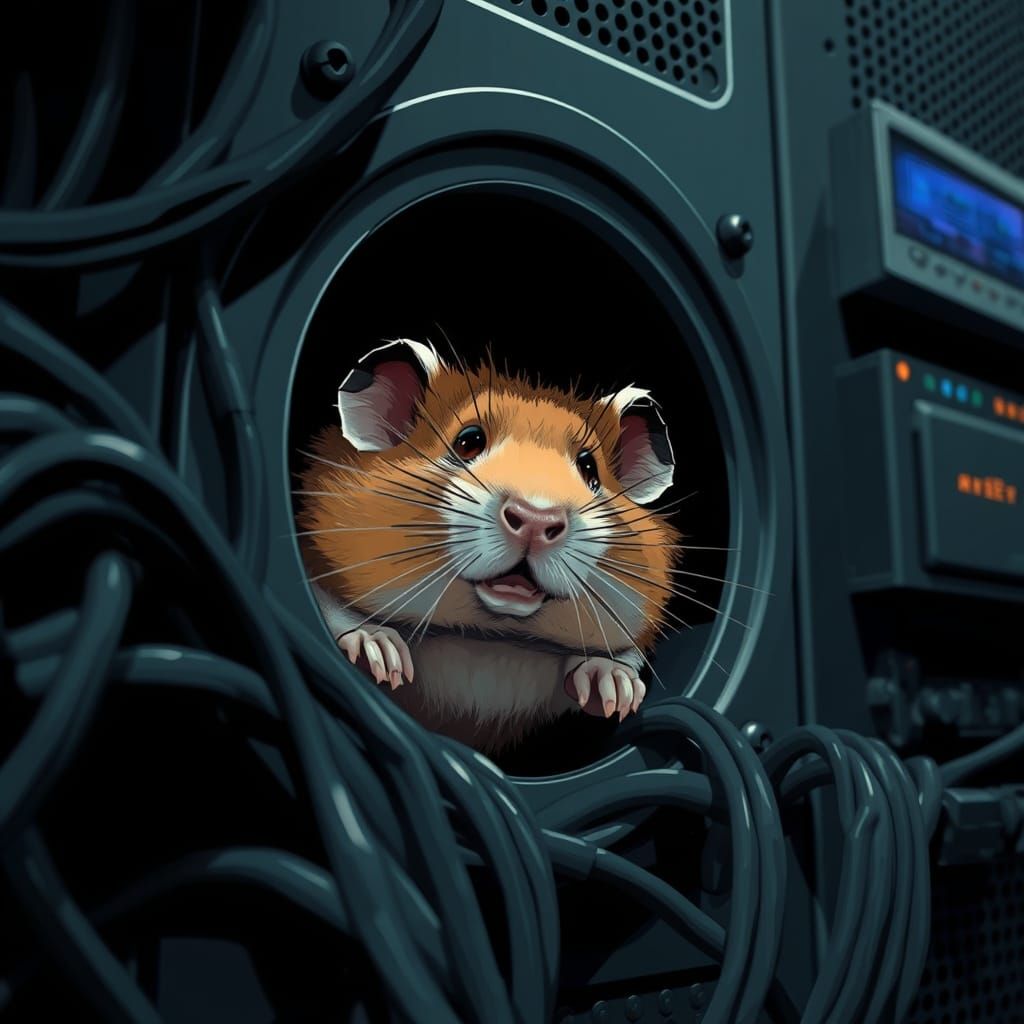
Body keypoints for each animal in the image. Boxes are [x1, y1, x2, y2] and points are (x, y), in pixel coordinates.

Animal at [296, 338, 681, 755]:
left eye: (589, 468)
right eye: (468, 441)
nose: (536, 518)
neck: (490, 638)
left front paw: (613, 691)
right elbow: (334, 607)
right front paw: (379, 654)